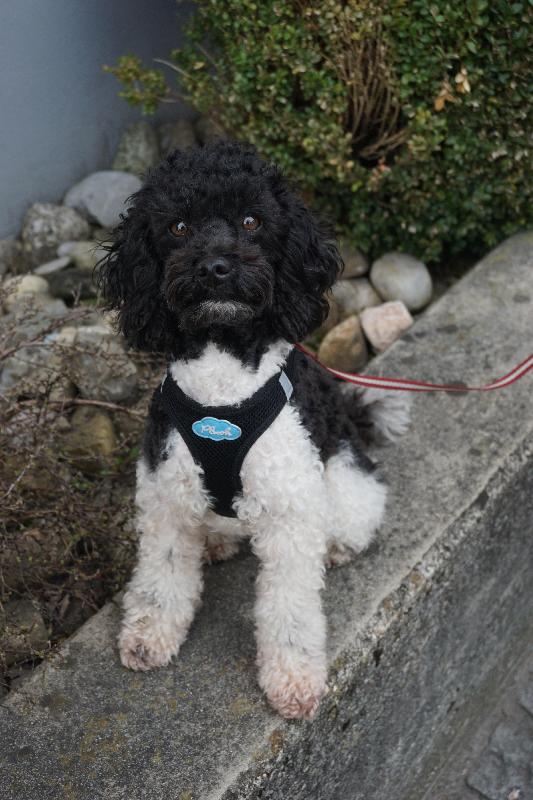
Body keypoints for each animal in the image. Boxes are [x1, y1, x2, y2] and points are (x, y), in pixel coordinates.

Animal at [97, 139, 410, 719]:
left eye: (251, 221)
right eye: (178, 226)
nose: (216, 267)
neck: (222, 393)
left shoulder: (290, 512)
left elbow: (290, 609)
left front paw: (293, 679)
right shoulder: (164, 497)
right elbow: (160, 578)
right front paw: (148, 637)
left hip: (345, 485)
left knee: (352, 520)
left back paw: (336, 547)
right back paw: (216, 542)